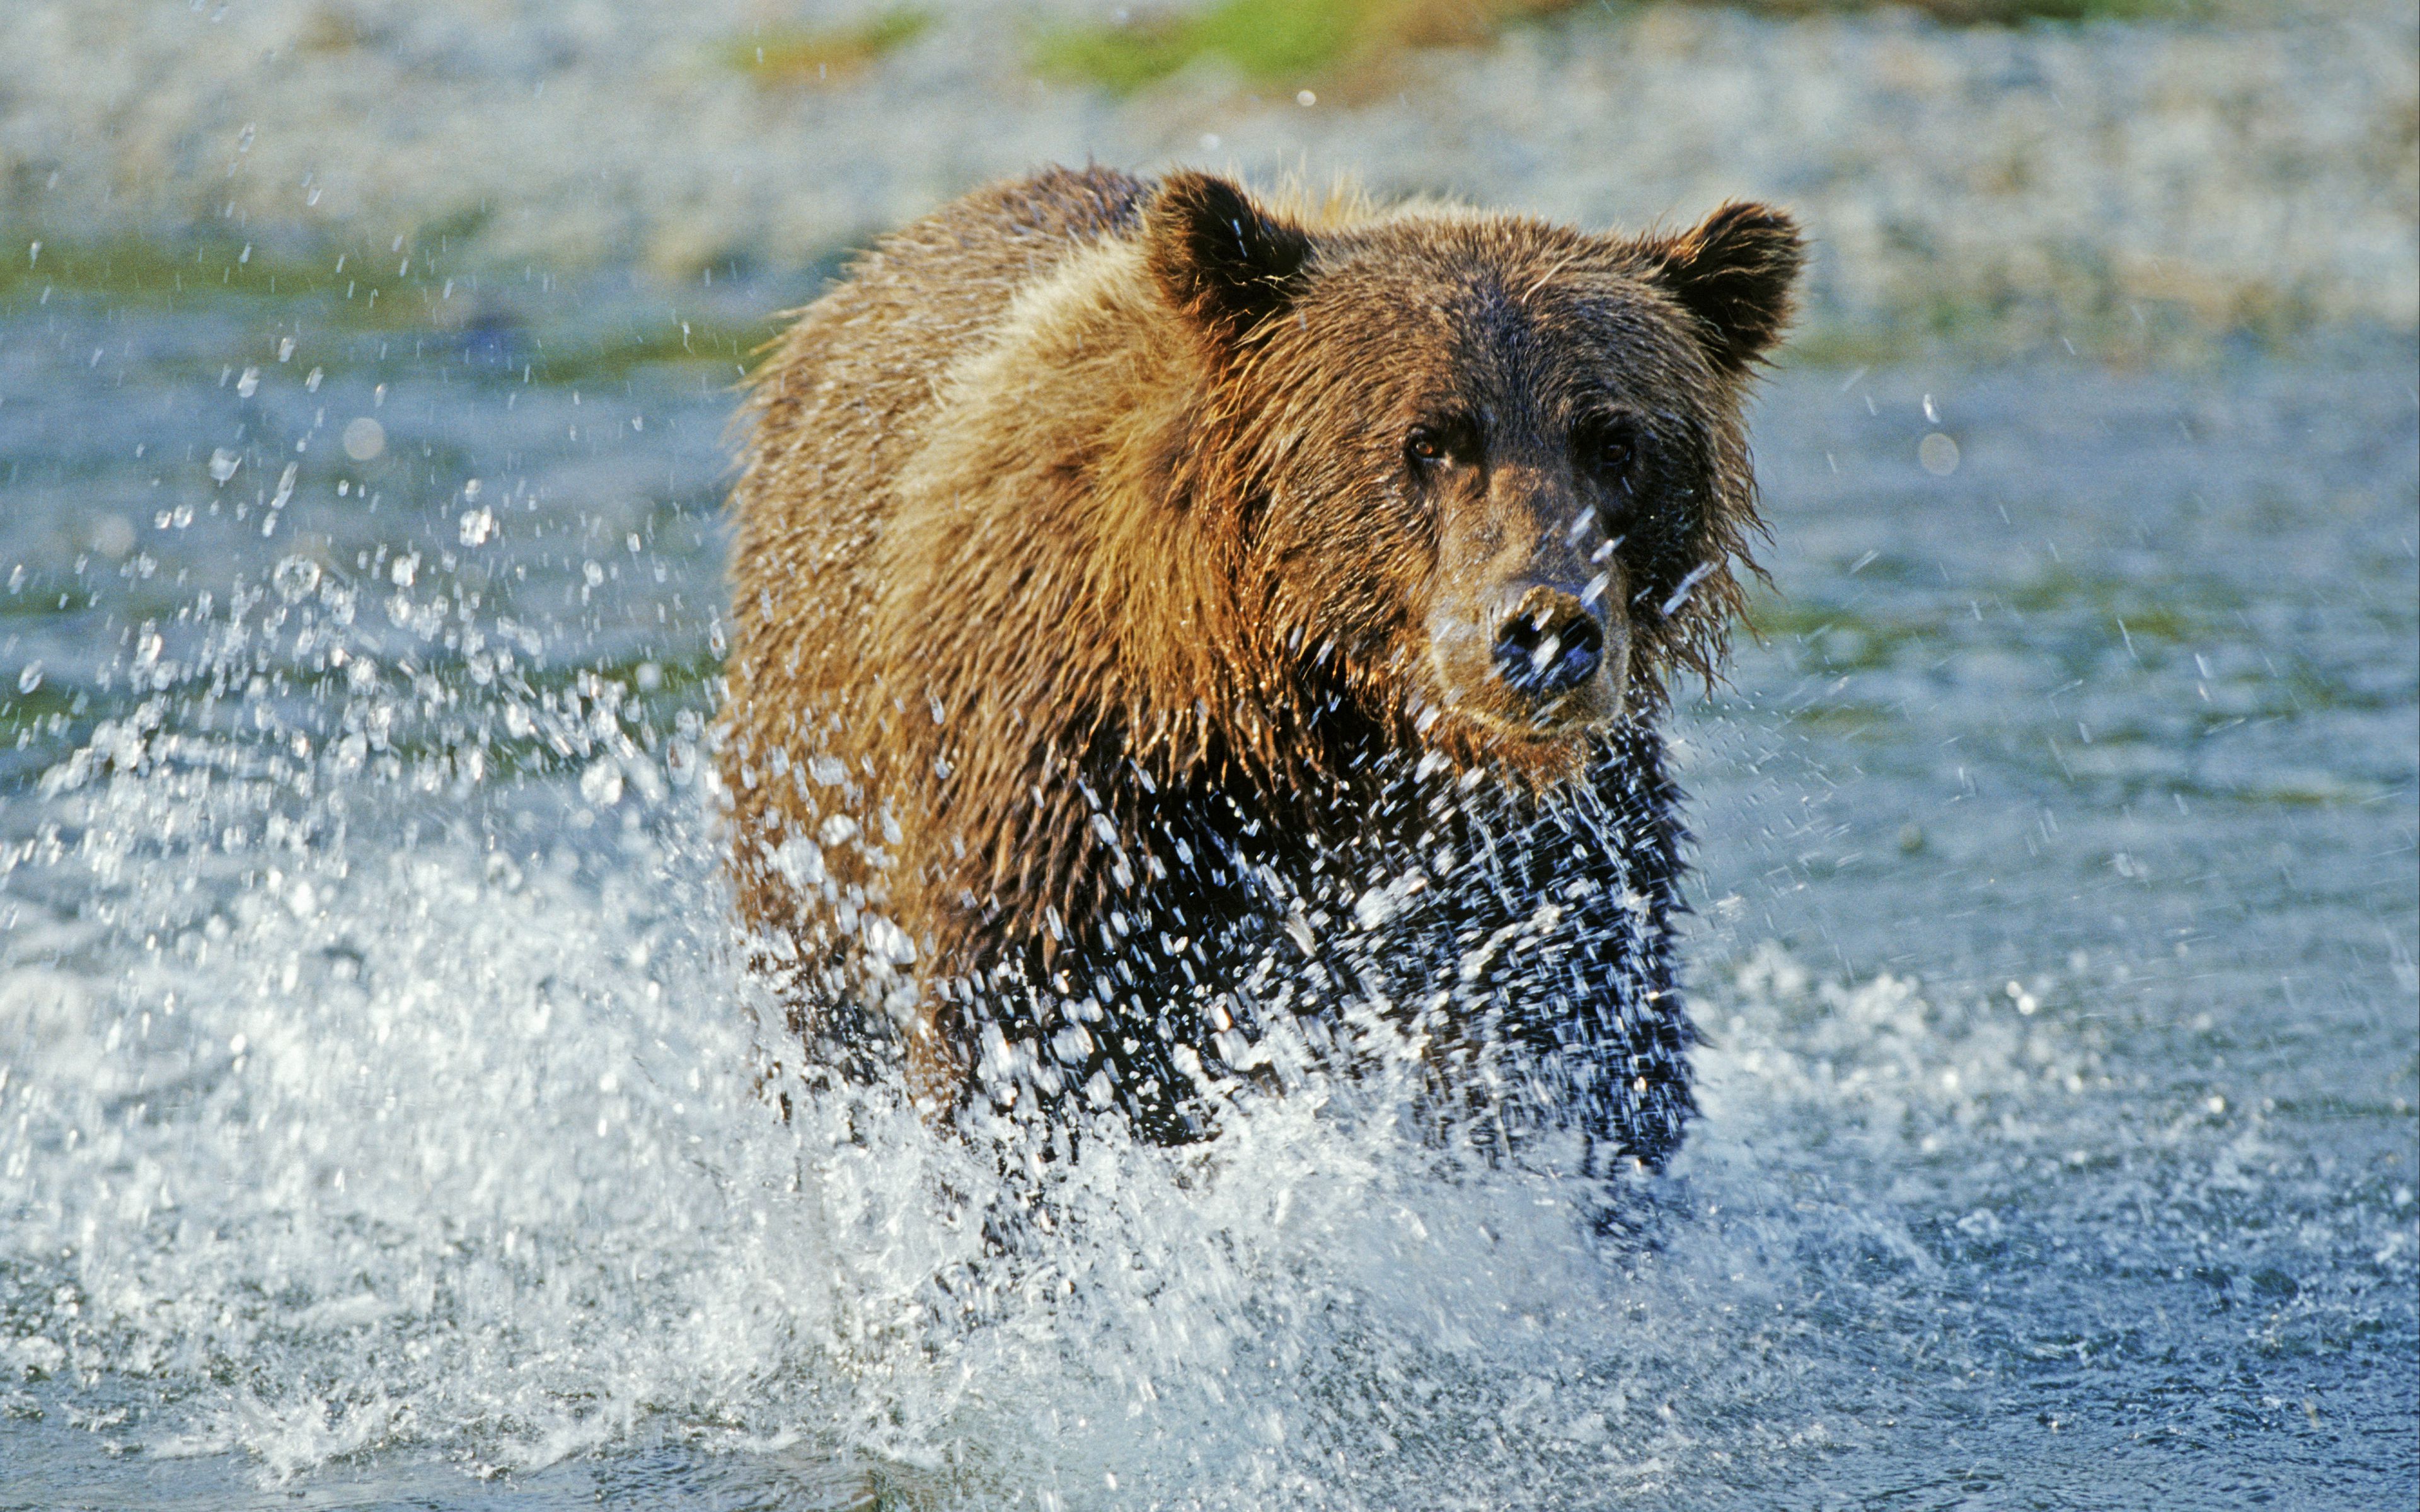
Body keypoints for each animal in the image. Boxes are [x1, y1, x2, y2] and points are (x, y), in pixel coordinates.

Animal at [722, 165, 1801, 1170]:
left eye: (1616, 440)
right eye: (1430, 439)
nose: (1543, 631)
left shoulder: (1537, 861)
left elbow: (1578, 1050)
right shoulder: (1074, 789)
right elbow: (1032, 1050)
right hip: (817, 808)